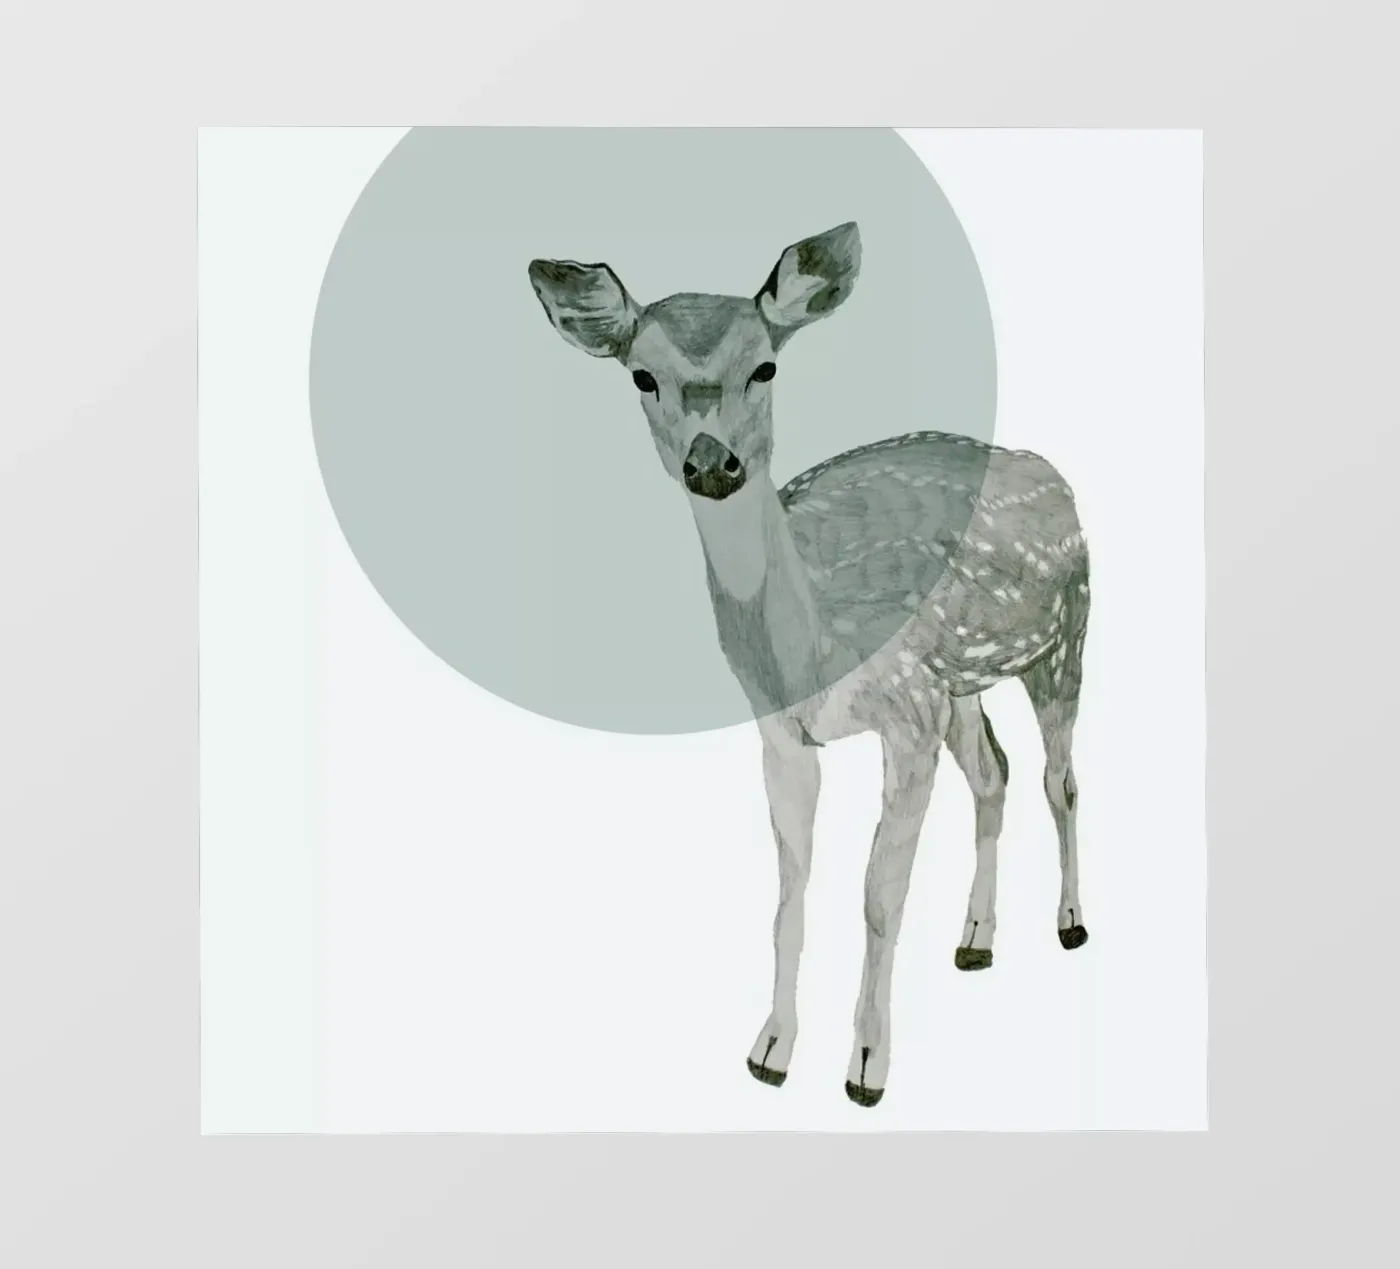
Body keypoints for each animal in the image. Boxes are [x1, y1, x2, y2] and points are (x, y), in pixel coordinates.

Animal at [527, 221, 1090, 1107]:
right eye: (642, 375)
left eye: (766, 365)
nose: (711, 462)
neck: (811, 646)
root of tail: (1056, 475)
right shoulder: (783, 731)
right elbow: (789, 896)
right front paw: (770, 1051)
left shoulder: (907, 710)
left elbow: (879, 896)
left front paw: (866, 1068)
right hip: (963, 679)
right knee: (994, 770)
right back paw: (975, 939)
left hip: (1067, 630)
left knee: (1058, 776)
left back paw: (1069, 923)